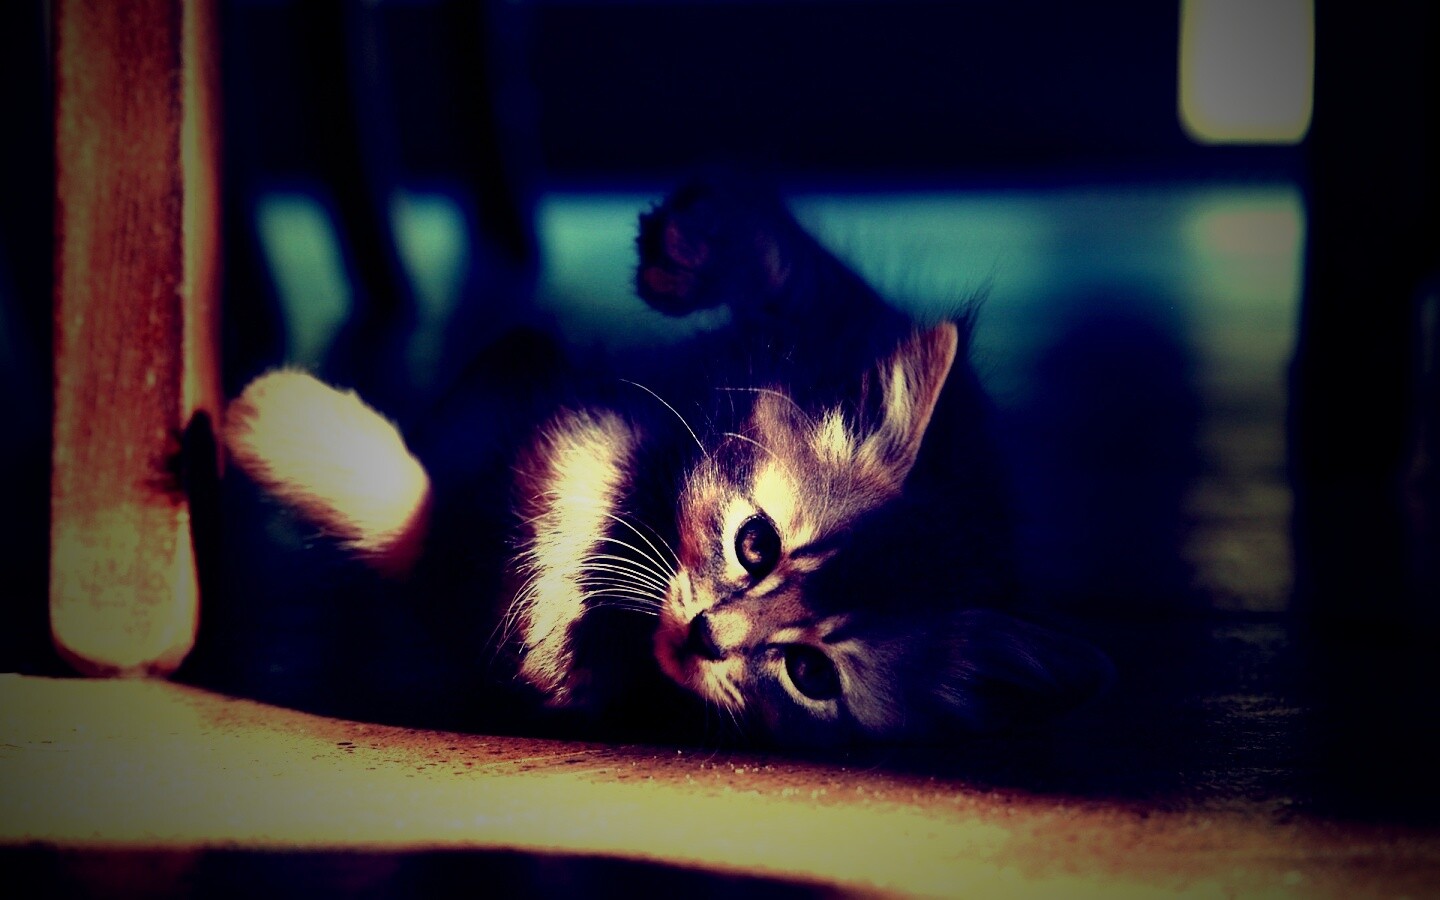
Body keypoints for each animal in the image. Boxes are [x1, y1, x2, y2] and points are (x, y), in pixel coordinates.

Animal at [222, 172, 1111, 748]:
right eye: (756, 545)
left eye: (810, 674)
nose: (708, 637)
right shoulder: (843, 329)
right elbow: (802, 269)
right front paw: (692, 243)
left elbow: (415, 520)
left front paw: (271, 419)